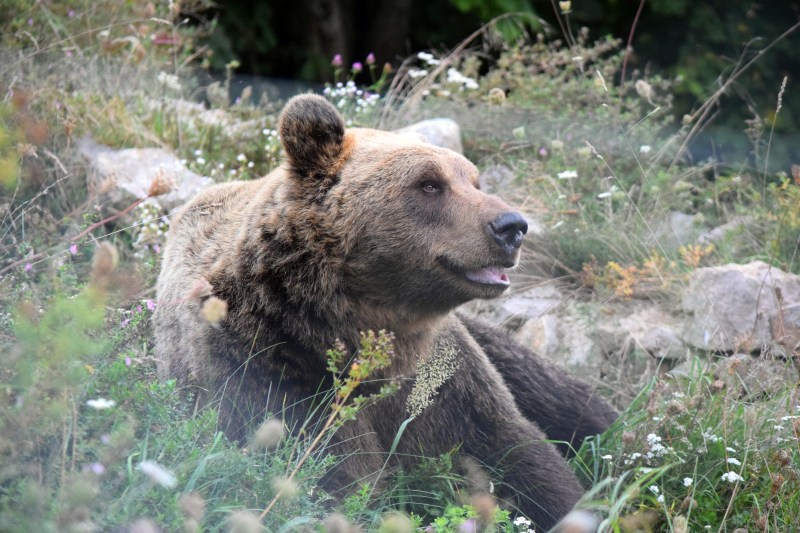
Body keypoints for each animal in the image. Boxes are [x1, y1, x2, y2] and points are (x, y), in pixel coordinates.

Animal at [153, 94, 616, 528]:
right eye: (429, 184)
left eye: (474, 180)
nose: (512, 226)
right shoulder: (278, 373)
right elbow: (337, 480)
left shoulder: (445, 378)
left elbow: (520, 451)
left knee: (565, 395)